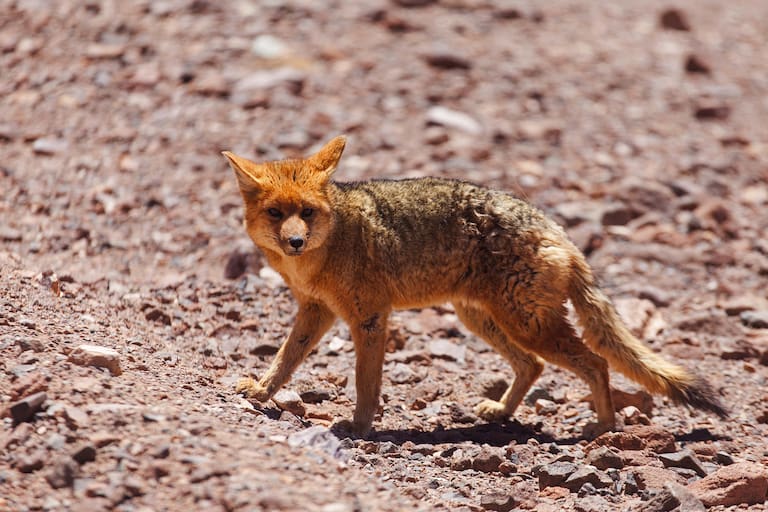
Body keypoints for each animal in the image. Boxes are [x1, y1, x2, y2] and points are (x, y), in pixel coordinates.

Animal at [222, 135, 727, 438]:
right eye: (276, 214)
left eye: (307, 212)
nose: (294, 241)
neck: (322, 254)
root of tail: (558, 231)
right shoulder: (317, 310)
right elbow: (286, 358)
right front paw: (262, 391)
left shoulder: (370, 317)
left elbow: (367, 381)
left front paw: (361, 425)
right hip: (483, 319)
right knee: (533, 366)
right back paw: (501, 413)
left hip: (525, 325)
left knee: (595, 361)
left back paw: (602, 427)